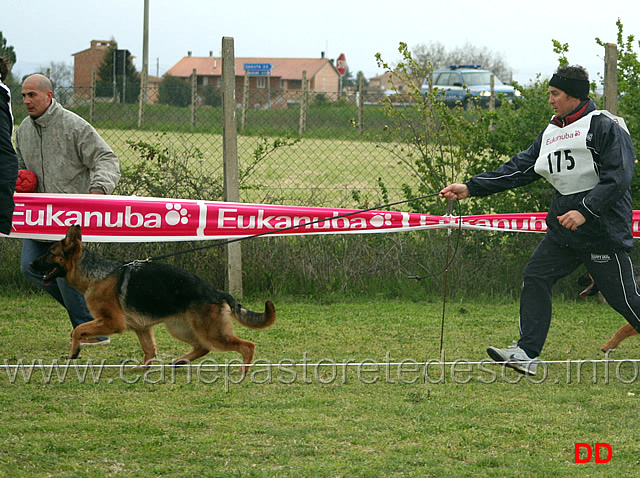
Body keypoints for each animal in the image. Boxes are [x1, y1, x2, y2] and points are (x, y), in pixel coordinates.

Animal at [30, 226, 276, 368]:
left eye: (50, 253)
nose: (31, 264)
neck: (96, 274)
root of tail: (218, 292)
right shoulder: (142, 328)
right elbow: (149, 351)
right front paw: (144, 368)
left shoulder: (111, 322)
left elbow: (77, 330)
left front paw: (74, 352)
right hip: (180, 328)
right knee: (203, 347)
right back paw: (181, 360)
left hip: (211, 333)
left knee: (247, 346)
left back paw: (243, 371)